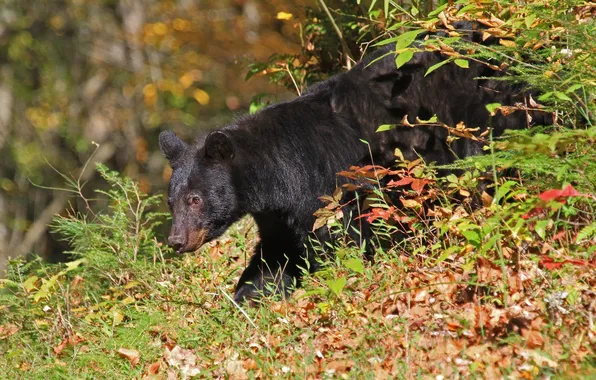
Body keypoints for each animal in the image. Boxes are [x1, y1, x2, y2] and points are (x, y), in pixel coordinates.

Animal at [161, 24, 552, 302]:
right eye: (172, 201)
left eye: (196, 199)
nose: (176, 241)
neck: (276, 174)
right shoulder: (277, 214)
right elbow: (274, 257)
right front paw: (247, 298)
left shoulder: (325, 186)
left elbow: (339, 238)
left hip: (479, 114)